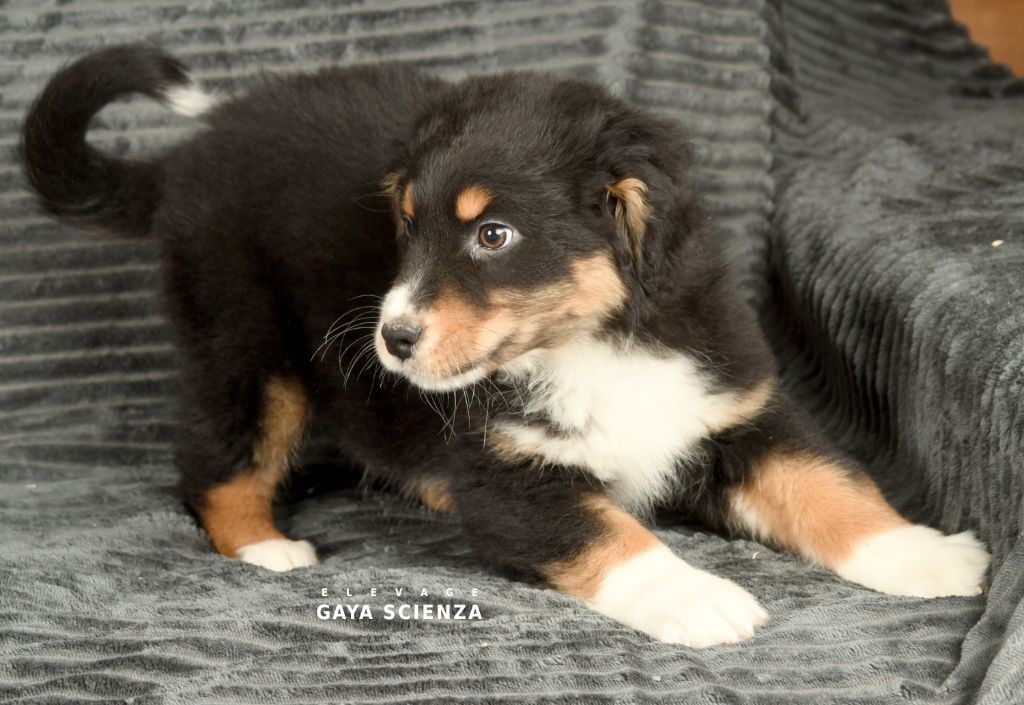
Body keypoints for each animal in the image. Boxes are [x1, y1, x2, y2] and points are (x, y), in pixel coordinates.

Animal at [20, 45, 991, 647]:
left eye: (493, 235)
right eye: (406, 227)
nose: (392, 340)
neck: (595, 346)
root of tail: (192, 149)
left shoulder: (734, 409)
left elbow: (830, 486)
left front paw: (925, 554)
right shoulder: (507, 471)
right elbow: (610, 533)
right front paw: (698, 597)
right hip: (246, 344)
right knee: (214, 464)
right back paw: (265, 546)